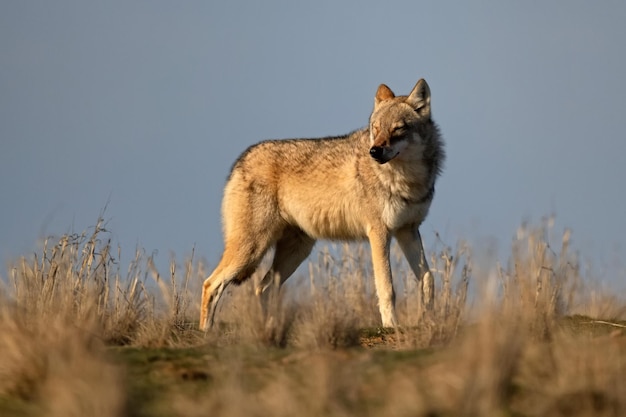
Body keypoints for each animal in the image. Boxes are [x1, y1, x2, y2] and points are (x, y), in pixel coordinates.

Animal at [200, 78, 444, 330]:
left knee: (263, 288)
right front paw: (391, 326)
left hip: (295, 252)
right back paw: (207, 333)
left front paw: (429, 319)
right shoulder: (379, 233)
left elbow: (428, 279)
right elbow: (387, 288)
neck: (407, 180)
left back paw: (269, 329)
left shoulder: (408, 230)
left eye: (397, 129)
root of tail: (240, 160)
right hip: (252, 249)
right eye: (375, 129)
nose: (374, 151)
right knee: (211, 284)